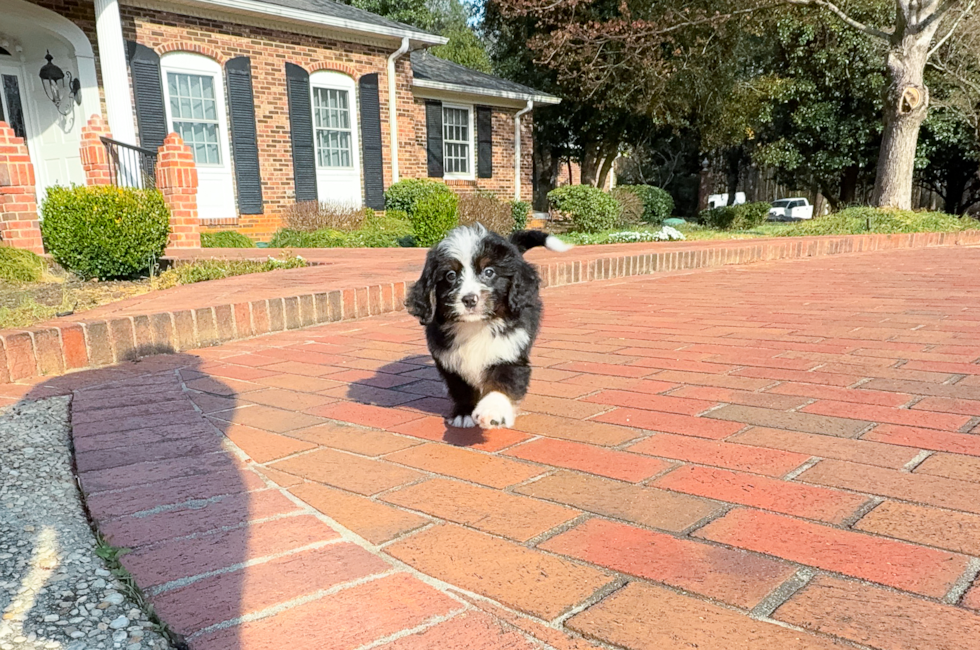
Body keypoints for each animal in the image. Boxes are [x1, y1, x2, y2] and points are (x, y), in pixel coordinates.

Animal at [408, 225, 576, 428]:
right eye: (450, 275)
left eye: (489, 272)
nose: (469, 299)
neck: (476, 326)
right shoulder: (450, 359)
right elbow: (461, 388)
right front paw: (463, 413)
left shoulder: (510, 350)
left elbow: (503, 382)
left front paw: (492, 411)